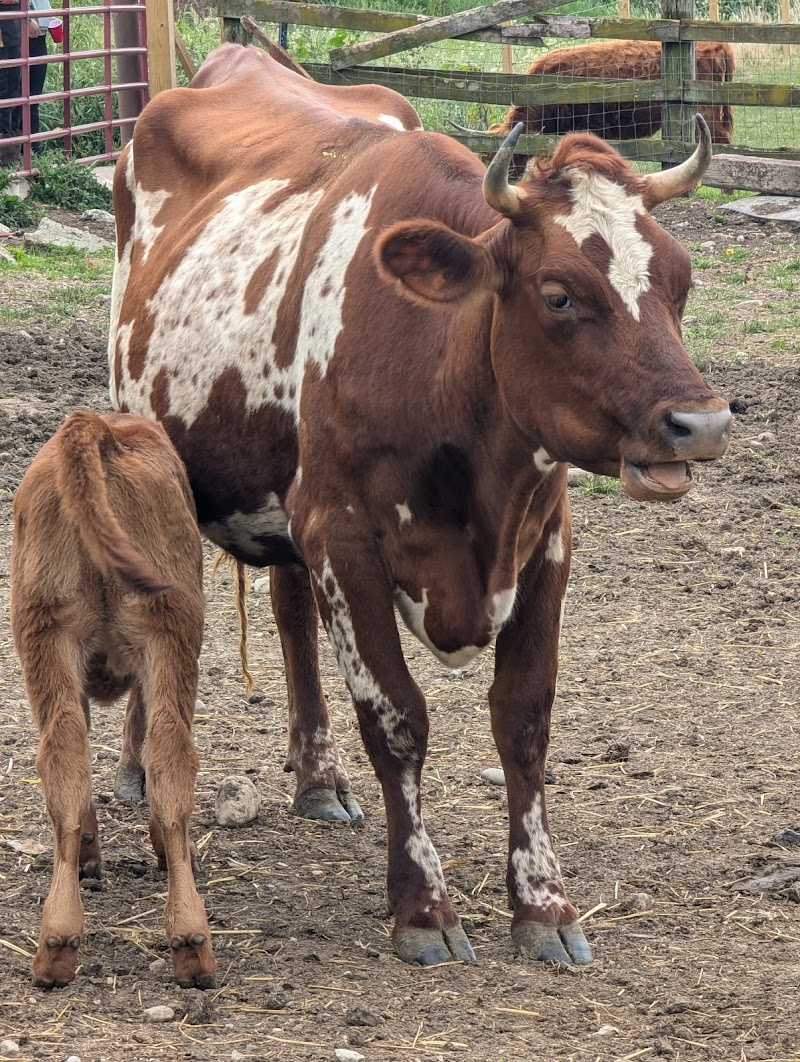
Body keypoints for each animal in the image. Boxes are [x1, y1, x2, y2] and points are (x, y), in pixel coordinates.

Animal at [11, 411, 215, 990]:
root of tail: (98, 428)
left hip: (50, 636)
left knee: (65, 755)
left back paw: (58, 940)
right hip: (167, 636)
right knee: (168, 754)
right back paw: (190, 938)